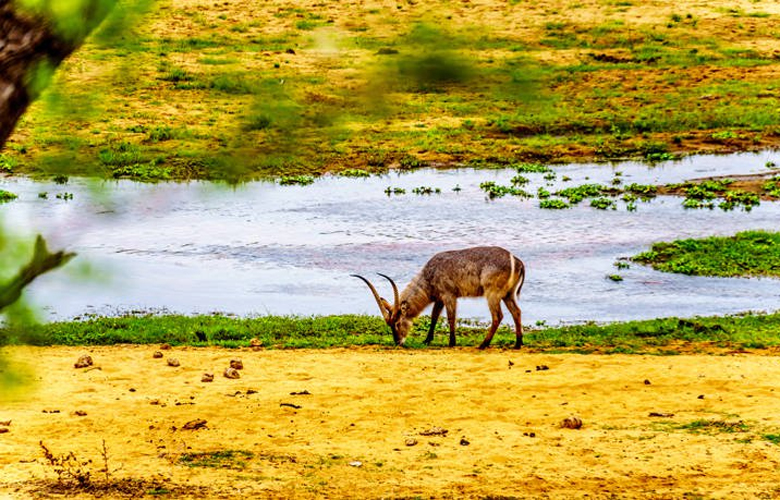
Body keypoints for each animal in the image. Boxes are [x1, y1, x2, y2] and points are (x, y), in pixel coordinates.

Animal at [352, 245, 524, 348]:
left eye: (398, 323)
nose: (398, 342)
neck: (429, 274)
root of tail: (517, 260)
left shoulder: (449, 295)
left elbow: (451, 318)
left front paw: (451, 342)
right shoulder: (439, 298)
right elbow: (434, 317)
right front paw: (427, 340)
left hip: (492, 294)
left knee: (498, 316)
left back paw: (483, 344)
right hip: (508, 294)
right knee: (516, 312)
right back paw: (518, 343)